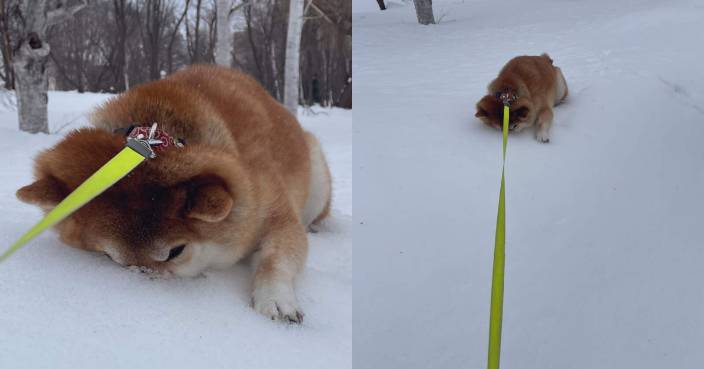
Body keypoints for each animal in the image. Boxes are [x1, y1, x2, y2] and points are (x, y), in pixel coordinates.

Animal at [17, 65, 332, 322]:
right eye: (110, 259)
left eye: (175, 252)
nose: (145, 278)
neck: (159, 134)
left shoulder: (276, 216)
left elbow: (276, 257)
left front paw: (276, 299)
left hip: (317, 179)